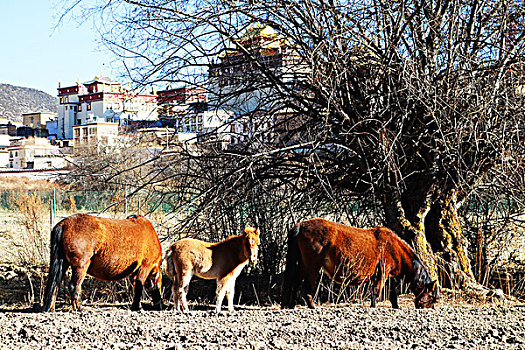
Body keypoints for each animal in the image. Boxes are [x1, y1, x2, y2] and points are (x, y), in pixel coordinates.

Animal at [282, 219, 438, 308]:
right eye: (432, 297)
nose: (427, 308)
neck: (393, 247)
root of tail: (300, 226)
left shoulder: (387, 276)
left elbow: (391, 293)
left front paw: (395, 306)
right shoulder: (382, 273)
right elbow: (376, 292)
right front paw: (373, 306)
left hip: (302, 265)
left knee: (294, 283)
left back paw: (290, 306)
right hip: (312, 266)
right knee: (306, 287)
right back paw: (311, 306)